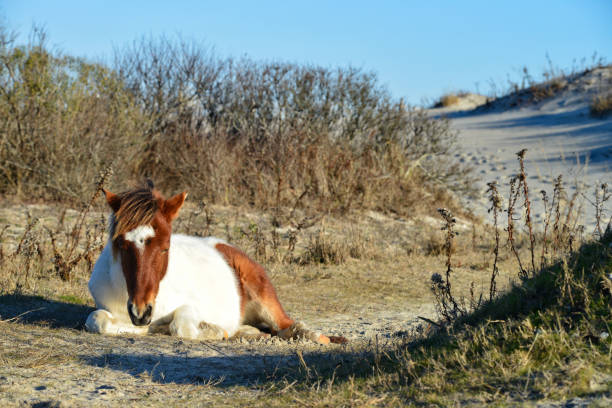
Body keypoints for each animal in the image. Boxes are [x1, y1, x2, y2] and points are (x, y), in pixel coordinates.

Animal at [85, 185, 350, 344]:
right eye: (121, 244)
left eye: (165, 247)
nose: (141, 312)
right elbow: (97, 320)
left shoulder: (190, 308)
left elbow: (180, 325)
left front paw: (214, 330)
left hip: (266, 300)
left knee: (288, 327)